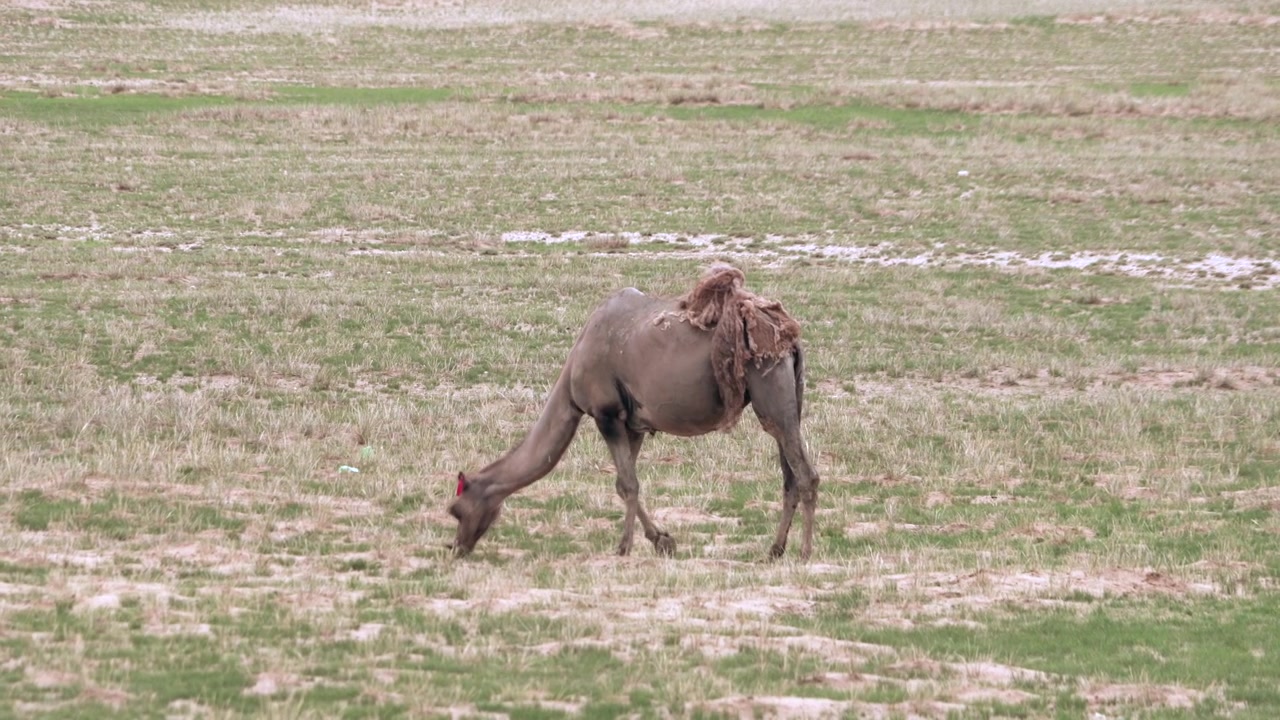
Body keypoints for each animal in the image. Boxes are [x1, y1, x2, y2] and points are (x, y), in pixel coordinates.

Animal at [449, 265, 820, 560]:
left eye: (456, 510)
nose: (456, 548)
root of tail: (791, 338)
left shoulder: (606, 413)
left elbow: (627, 483)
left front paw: (624, 547)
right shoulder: (634, 424)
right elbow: (625, 482)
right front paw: (664, 541)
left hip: (769, 391)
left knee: (805, 474)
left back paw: (804, 552)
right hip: (790, 396)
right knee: (789, 474)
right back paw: (775, 550)